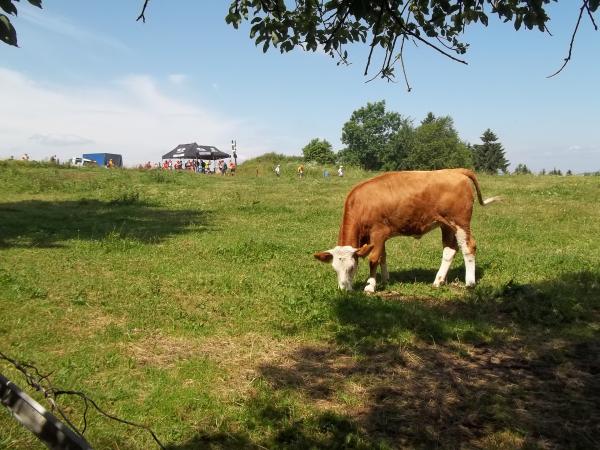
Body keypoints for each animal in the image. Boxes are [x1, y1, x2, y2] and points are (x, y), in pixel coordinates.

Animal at [312, 169, 500, 292]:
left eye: (352, 268)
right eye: (335, 269)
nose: (344, 289)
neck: (362, 203)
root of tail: (456, 170)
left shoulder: (378, 233)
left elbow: (373, 259)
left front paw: (370, 286)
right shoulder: (379, 238)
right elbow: (382, 257)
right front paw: (385, 280)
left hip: (460, 222)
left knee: (468, 247)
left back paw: (470, 283)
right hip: (446, 225)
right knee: (449, 250)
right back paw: (438, 281)